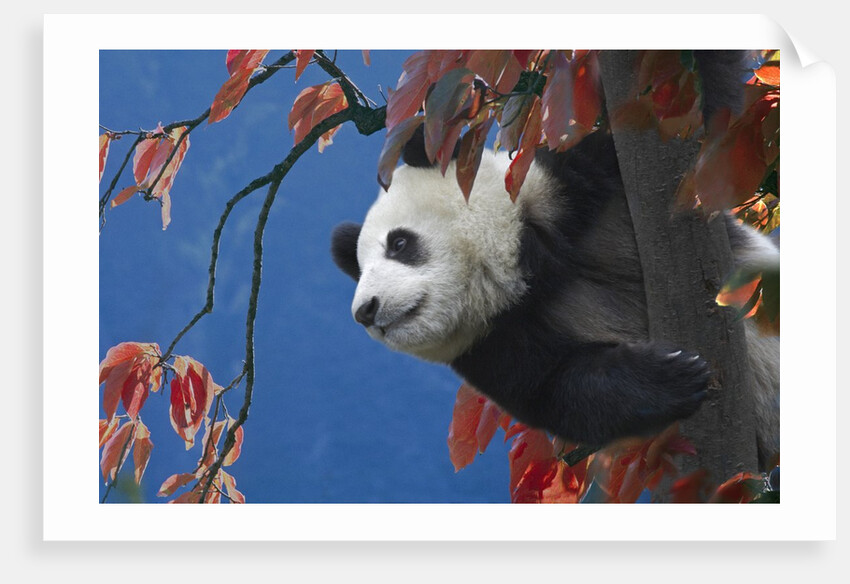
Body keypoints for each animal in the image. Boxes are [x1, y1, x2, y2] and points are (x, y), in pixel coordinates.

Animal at [330, 52, 779, 462]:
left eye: (399, 244)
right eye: (362, 269)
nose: (365, 310)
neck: (522, 270)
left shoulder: (575, 188)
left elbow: (695, 117)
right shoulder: (491, 341)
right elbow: (558, 390)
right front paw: (672, 376)